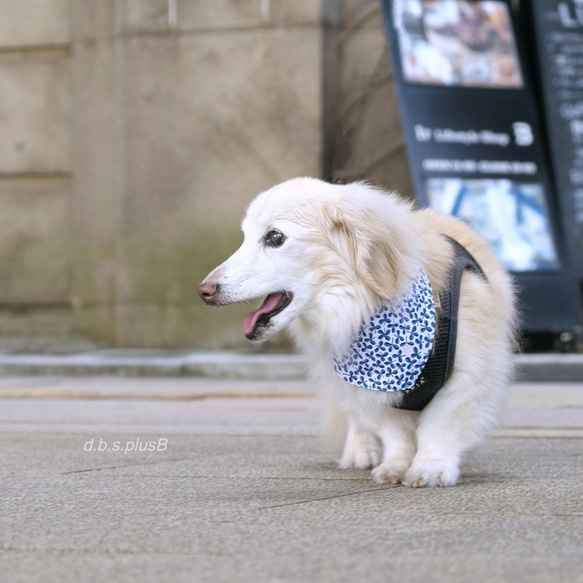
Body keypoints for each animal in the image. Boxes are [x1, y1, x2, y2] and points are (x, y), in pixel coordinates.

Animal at [198, 178, 516, 488]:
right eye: (244, 237)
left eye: (274, 237)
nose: (204, 291)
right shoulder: (370, 391)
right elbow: (396, 434)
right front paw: (395, 466)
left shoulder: (469, 377)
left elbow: (439, 428)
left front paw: (430, 468)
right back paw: (359, 451)